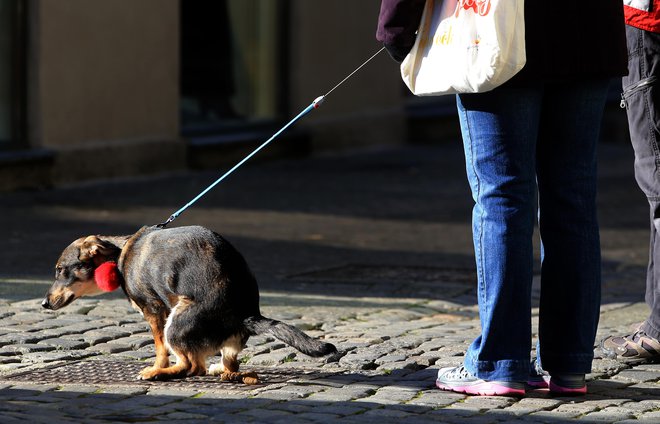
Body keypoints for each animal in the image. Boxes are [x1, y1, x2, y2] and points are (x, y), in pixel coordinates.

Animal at [42, 225, 336, 384]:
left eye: (60, 270)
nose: (44, 303)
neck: (118, 255)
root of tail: (245, 314)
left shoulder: (154, 311)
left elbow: (160, 349)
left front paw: (158, 366)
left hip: (176, 321)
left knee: (192, 367)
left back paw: (158, 374)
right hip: (221, 342)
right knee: (227, 365)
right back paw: (219, 369)